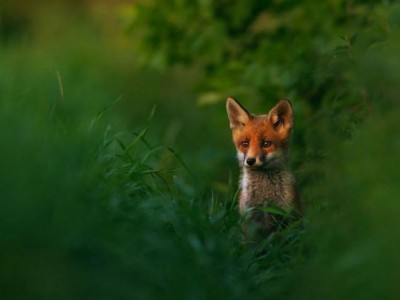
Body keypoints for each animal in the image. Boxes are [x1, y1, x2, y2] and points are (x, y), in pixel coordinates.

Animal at [225, 97, 300, 238]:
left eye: (266, 144)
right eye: (245, 143)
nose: (250, 161)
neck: (265, 197)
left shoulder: (286, 217)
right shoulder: (250, 220)